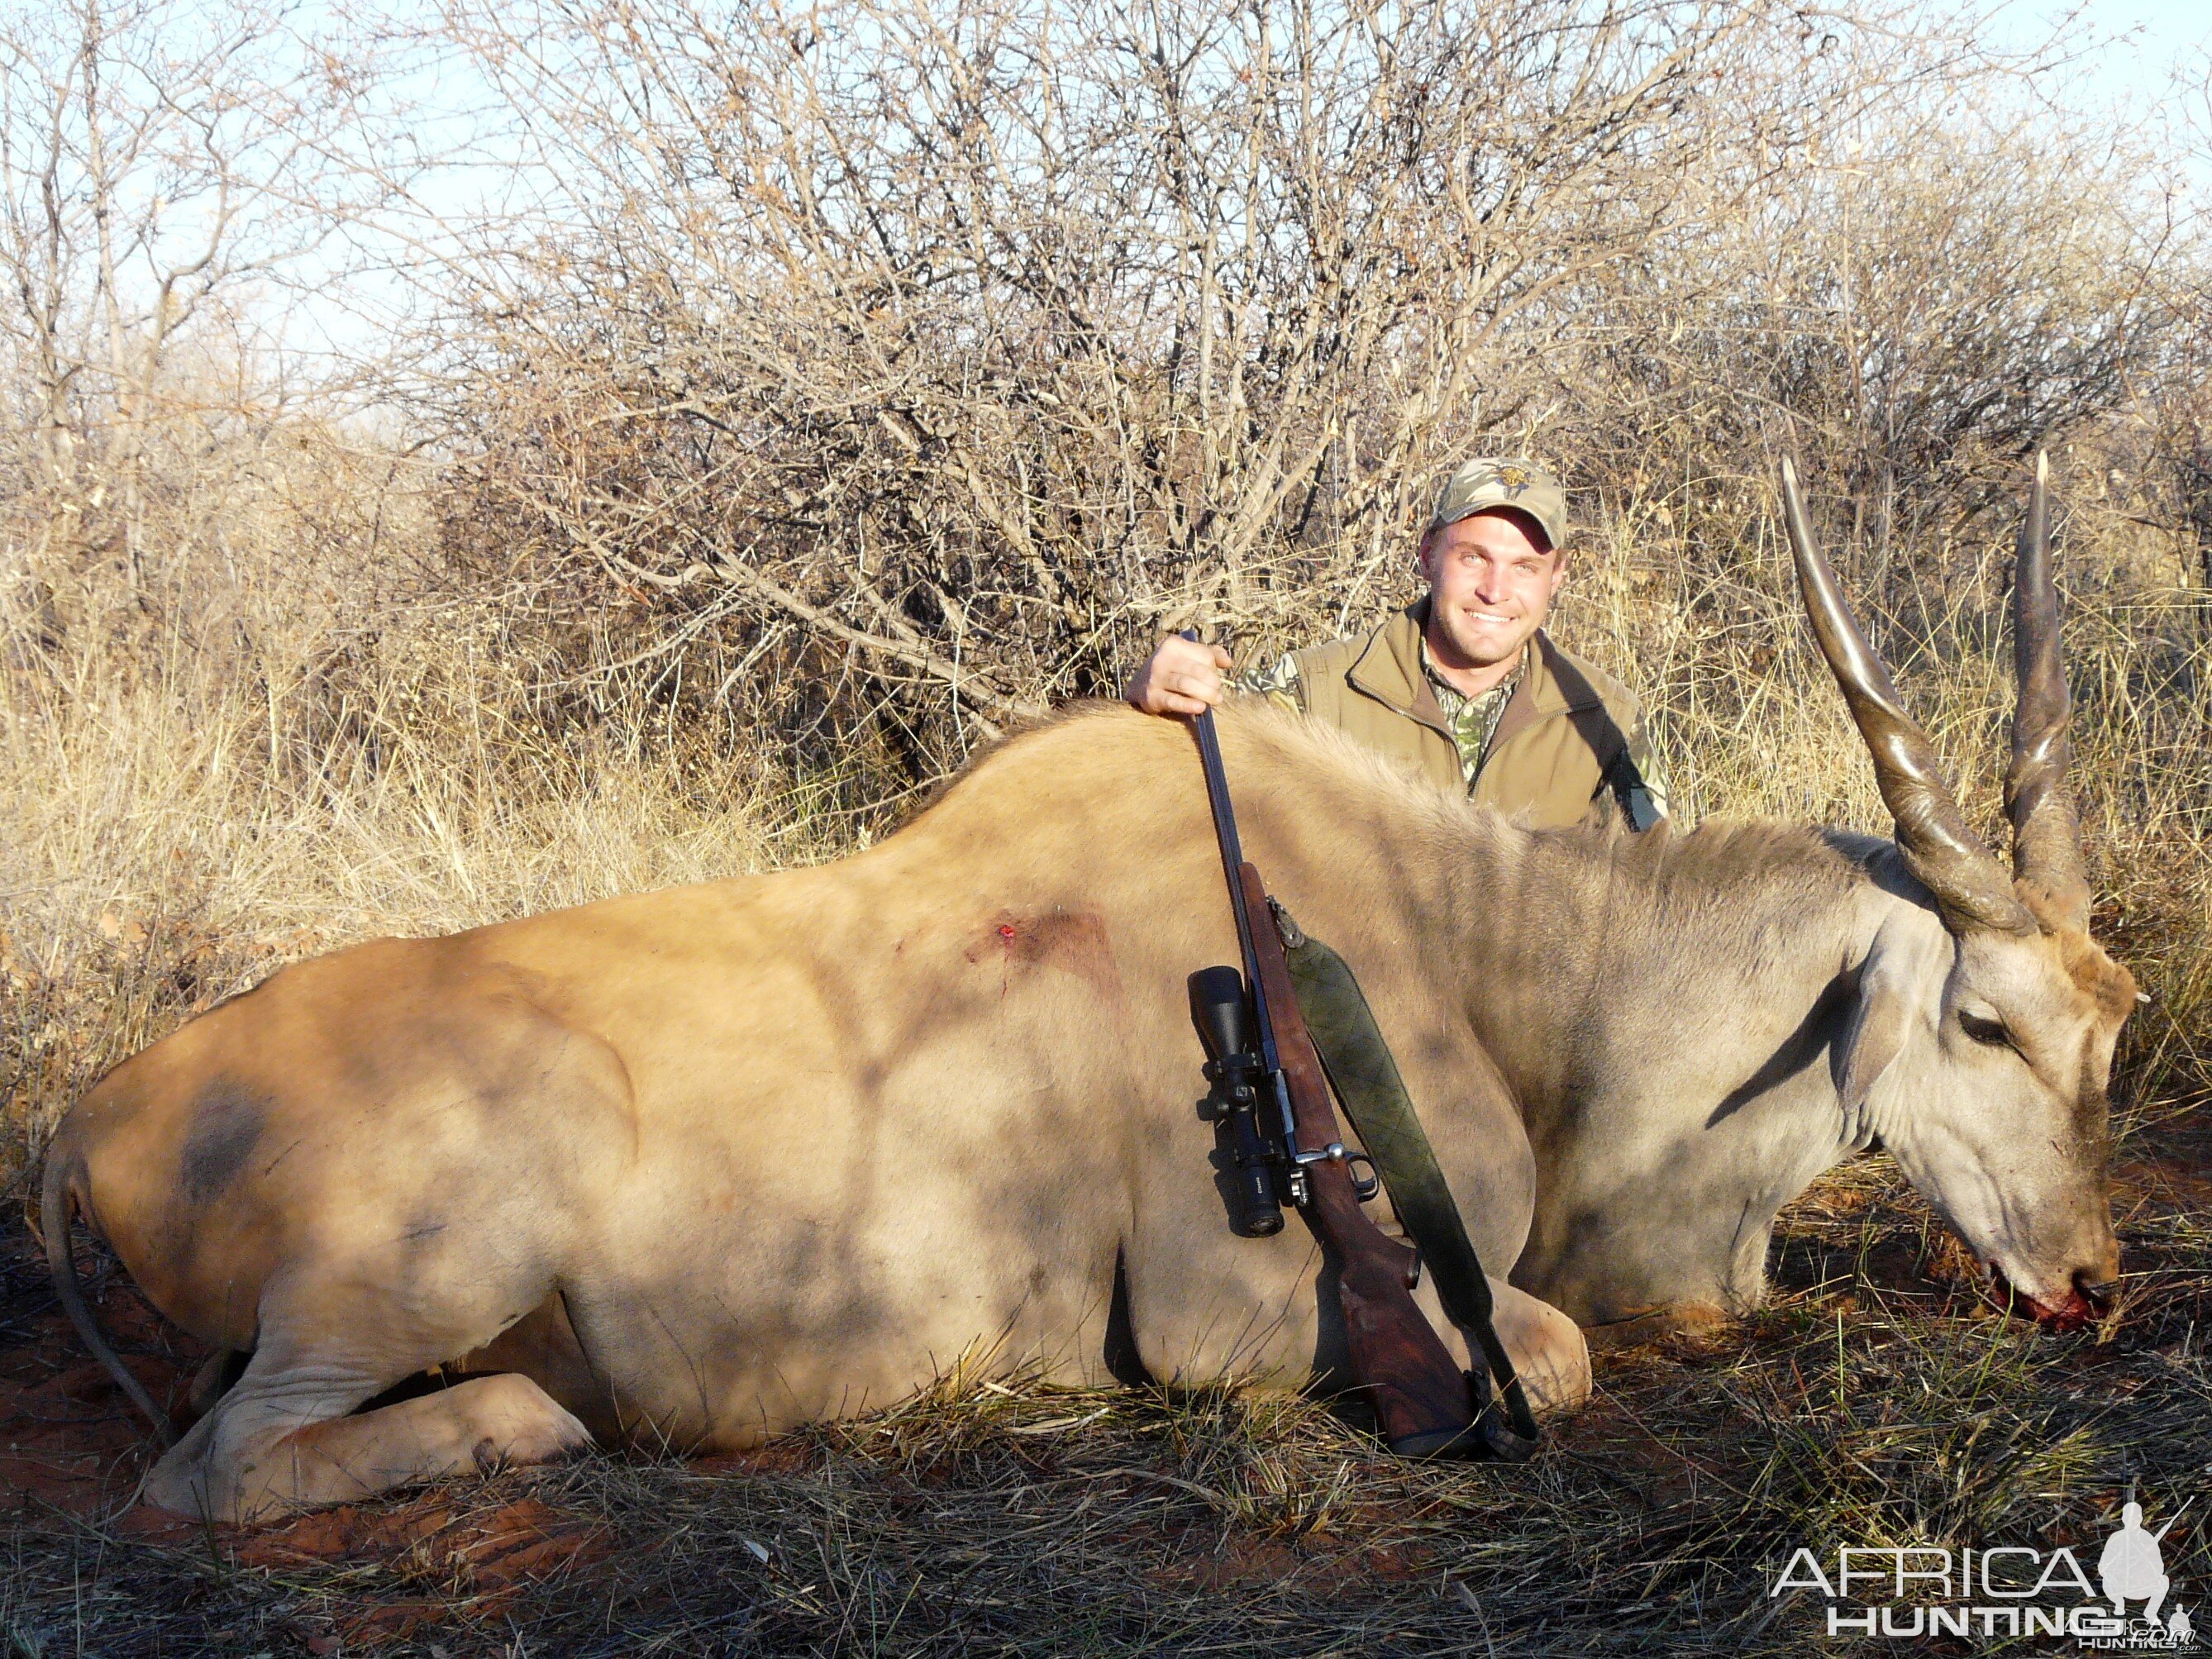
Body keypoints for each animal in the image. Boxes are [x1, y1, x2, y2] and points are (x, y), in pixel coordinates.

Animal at [43, 455, 2132, 1522]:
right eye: (1985, 1017)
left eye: (2113, 1033)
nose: (2094, 1278)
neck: (1489, 953)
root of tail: (95, 1118)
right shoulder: (1236, 1319)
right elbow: (1539, 1354)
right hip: (434, 1258)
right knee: (214, 1471)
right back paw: (537, 1421)